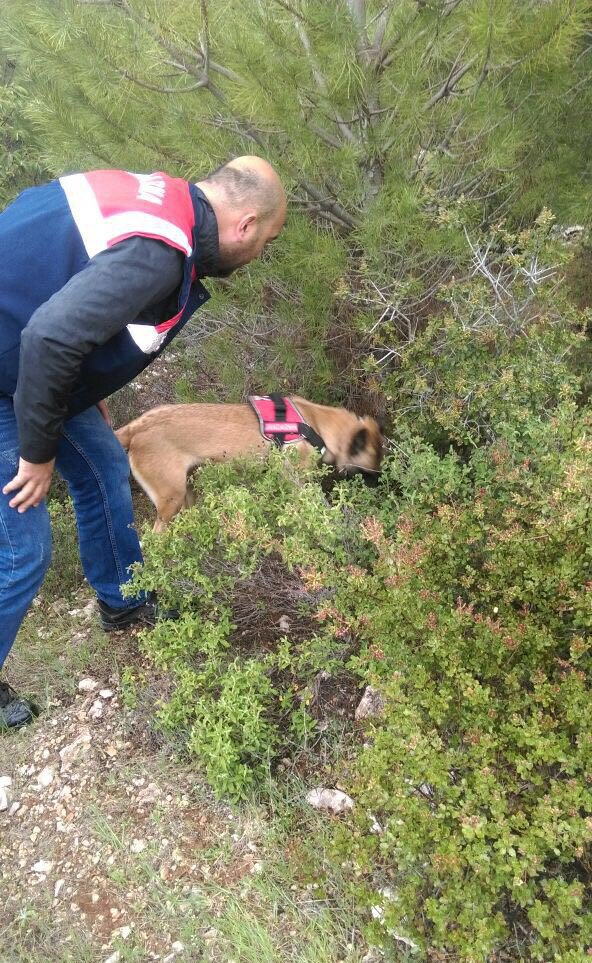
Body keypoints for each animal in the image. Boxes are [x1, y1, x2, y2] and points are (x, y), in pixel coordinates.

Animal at [115, 398, 384, 536]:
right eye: (370, 471)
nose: (383, 487)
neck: (317, 424)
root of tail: (137, 428)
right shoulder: (295, 481)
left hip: (187, 492)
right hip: (172, 499)